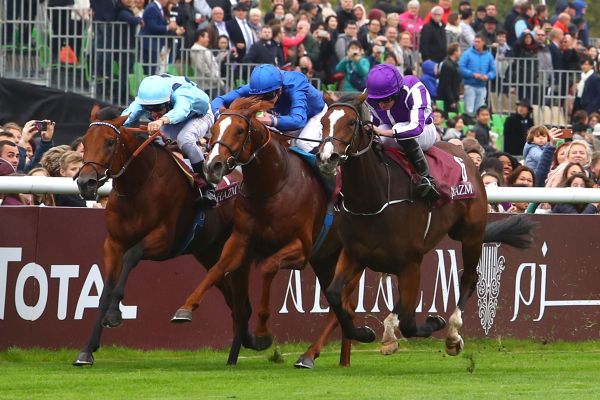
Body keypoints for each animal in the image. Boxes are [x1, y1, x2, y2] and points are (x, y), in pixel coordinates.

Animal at [73, 114, 255, 366]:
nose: (85, 182)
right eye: (84, 141)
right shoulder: (113, 244)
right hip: (209, 253)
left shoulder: (164, 240)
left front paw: (114, 314)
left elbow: (131, 256)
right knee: (231, 297)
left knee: (239, 299)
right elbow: (105, 290)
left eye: (110, 142)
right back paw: (245, 344)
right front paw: (87, 350)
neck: (138, 186)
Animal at [171, 97, 358, 368]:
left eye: (240, 130)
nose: (212, 166)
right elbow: (218, 268)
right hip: (325, 259)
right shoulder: (241, 240)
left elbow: (269, 268)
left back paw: (315, 353)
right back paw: (342, 353)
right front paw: (185, 308)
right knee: (341, 302)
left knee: (344, 302)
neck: (272, 185)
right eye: (213, 129)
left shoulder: (300, 249)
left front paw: (261, 334)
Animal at [316, 93, 536, 355]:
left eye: (351, 123)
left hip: (471, 234)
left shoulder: (411, 263)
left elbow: (410, 324)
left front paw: (435, 322)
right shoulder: (355, 254)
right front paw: (364, 333)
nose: (327, 158)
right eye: (323, 122)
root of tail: (463, 154)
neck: (373, 199)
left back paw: (452, 334)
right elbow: (334, 294)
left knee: (469, 279)